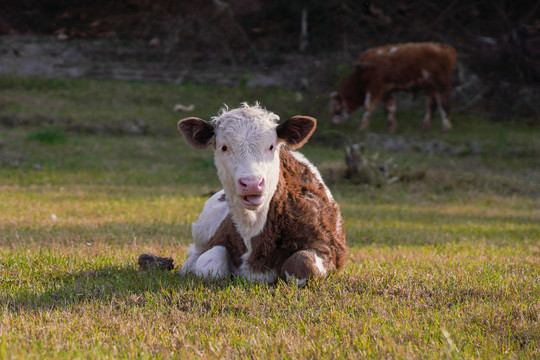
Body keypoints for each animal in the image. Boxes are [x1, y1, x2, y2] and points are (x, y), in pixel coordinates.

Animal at [177, 102, 346, 284]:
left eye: (271, 146)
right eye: (224, 147)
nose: (252, 183)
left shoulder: (327, 248)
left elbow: (302, 263)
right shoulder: (218, 240)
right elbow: (209, 264)